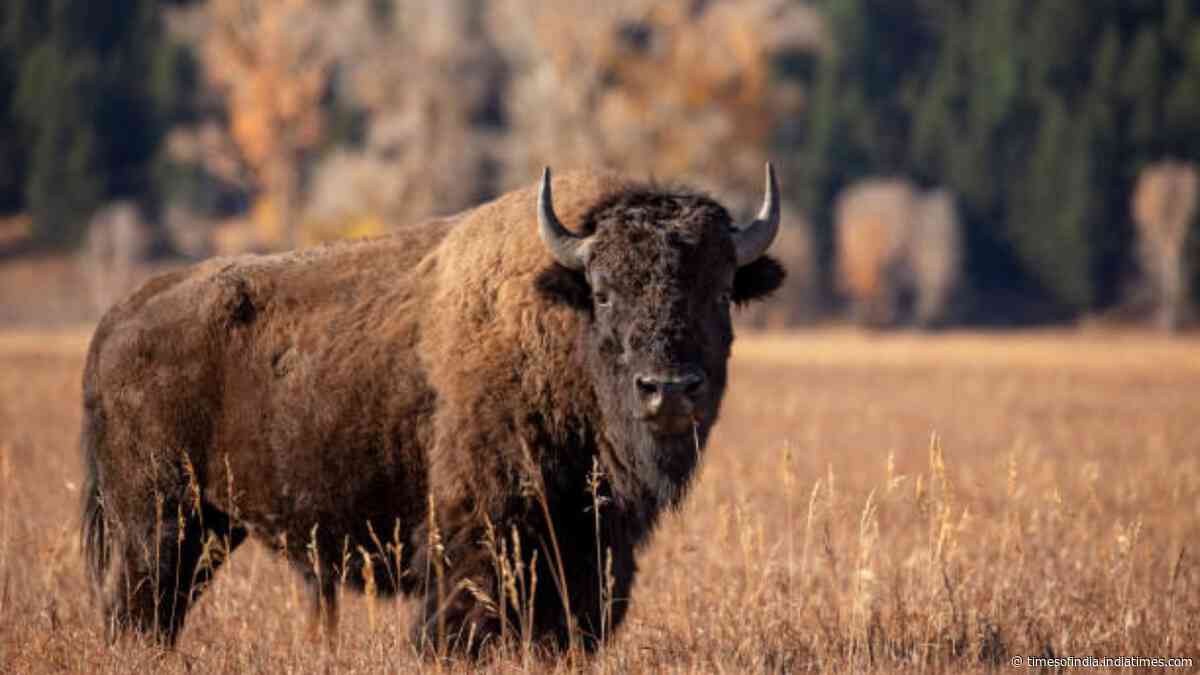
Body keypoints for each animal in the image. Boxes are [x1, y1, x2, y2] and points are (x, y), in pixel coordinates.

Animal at [80, 165, 785, 655]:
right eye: (606, 293)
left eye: (721, 291)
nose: (669, 389)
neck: (557, 324)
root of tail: (120, 315)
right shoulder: (474, 547)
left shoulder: (587, 555)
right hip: (159, 525)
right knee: (137, 612)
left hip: (207, 529)